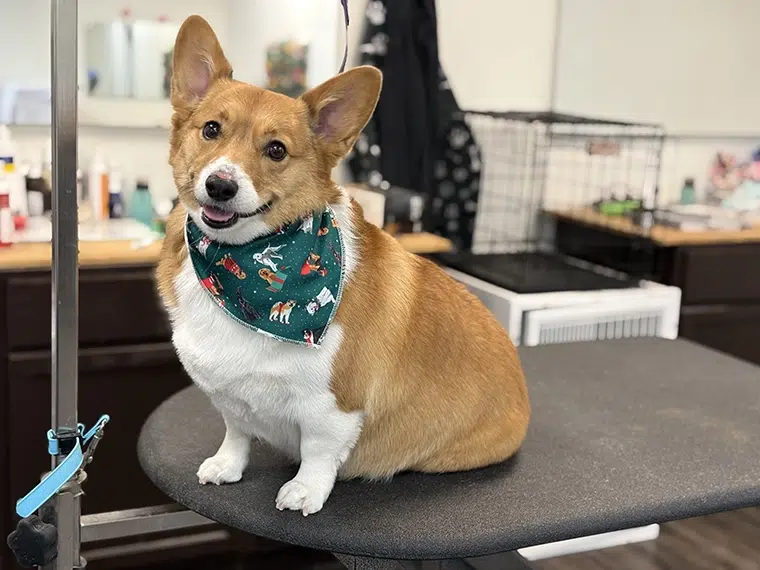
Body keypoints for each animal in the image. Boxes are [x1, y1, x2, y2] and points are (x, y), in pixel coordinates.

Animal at [155, 15, 529, 516]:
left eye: (276, 150)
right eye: (211, 129)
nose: (220, 185)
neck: (244, 271)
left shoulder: (332, 407)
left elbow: (317, 450)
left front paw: (305, 491)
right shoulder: (230, 398)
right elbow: (237, 432)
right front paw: (227, 465)